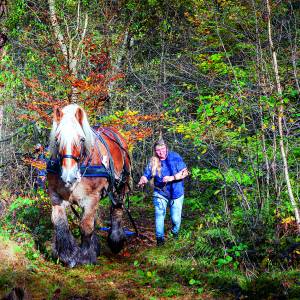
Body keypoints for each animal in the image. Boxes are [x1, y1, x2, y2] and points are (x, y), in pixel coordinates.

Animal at [46, 103, 130, 268]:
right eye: (57, 140)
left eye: (82, 139)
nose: (69, 176)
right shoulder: (56, 197)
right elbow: (60, 224)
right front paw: (67, 255)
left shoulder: (92, 197)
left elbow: (85, 226)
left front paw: (85, 257)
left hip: (121, 185)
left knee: (117, 208)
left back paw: (115, 240)